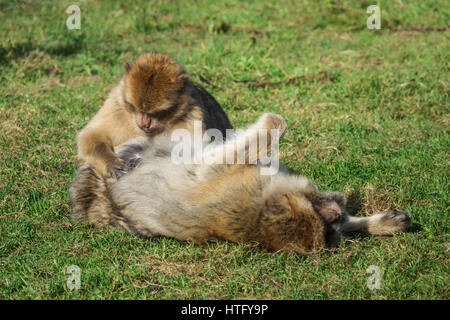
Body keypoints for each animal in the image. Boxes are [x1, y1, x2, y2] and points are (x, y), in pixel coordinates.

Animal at [71, 114, 412, 254]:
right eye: (322, 219)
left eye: (329, 230)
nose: (336, 213)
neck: (258, 215)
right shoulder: (223, 177)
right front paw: (272, 122)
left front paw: (381, 223)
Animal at [77, 52, 232, 178]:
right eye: (137, 109)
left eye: (156, 113)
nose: (143, 124)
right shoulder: (116, 105)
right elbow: (91, 135)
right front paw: (110, 161)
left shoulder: (193, 117)